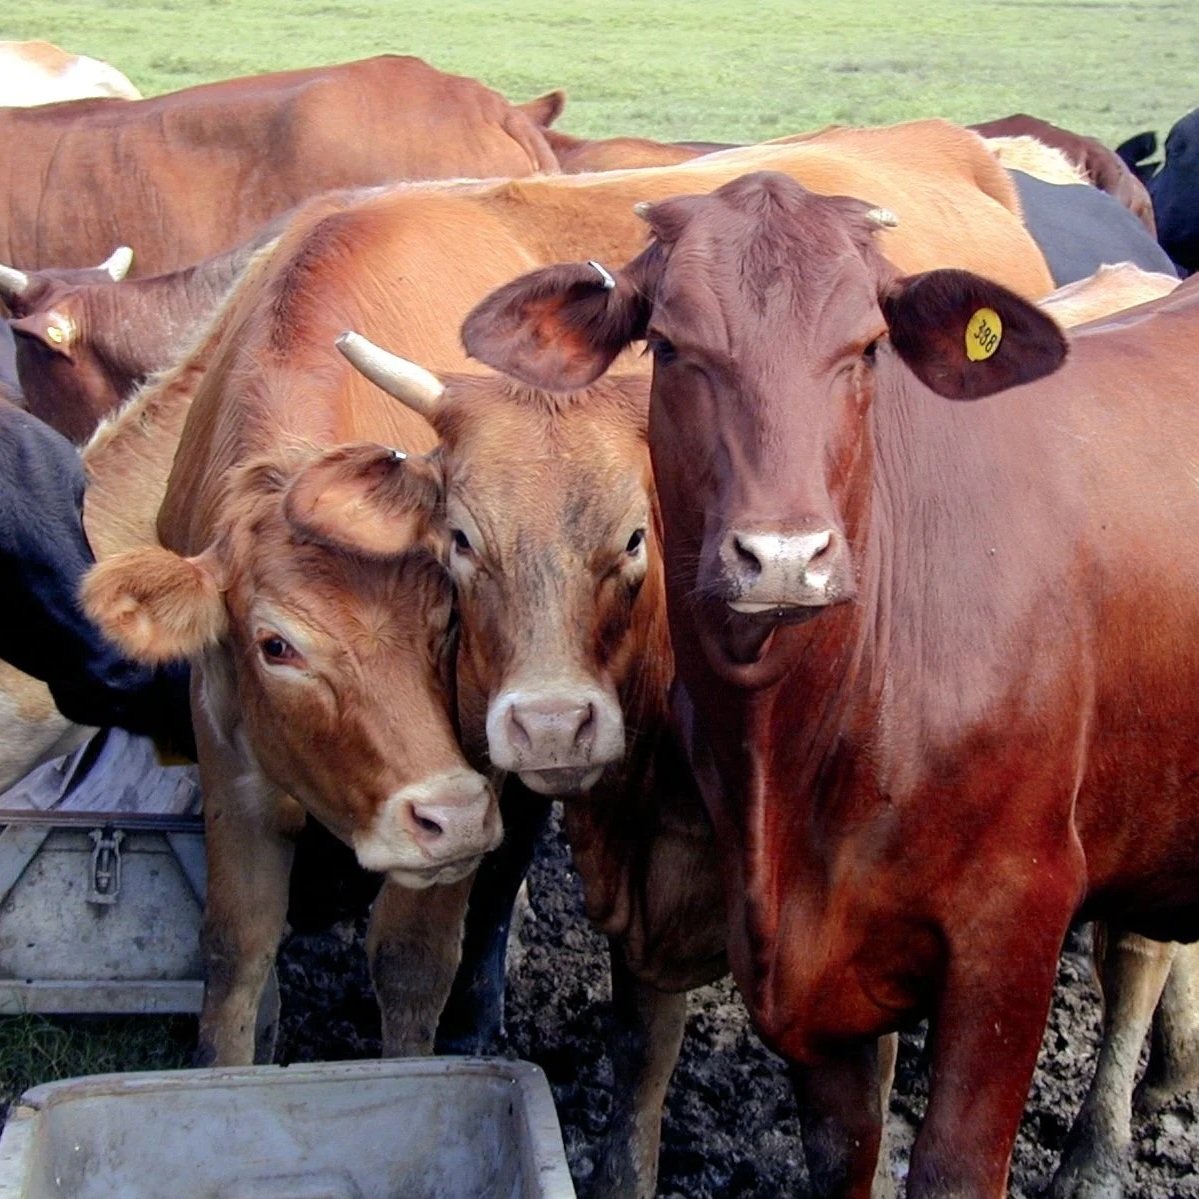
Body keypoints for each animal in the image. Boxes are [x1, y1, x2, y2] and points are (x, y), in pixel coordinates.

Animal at [453, 172, 1199, 1197]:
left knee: (1136, 952)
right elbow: (839, 1153)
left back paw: (1095, 1155)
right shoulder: (804, 981)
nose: (781, 556)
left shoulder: (1014, 927)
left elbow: (955, 1163)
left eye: (867, 347)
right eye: (672, 345)